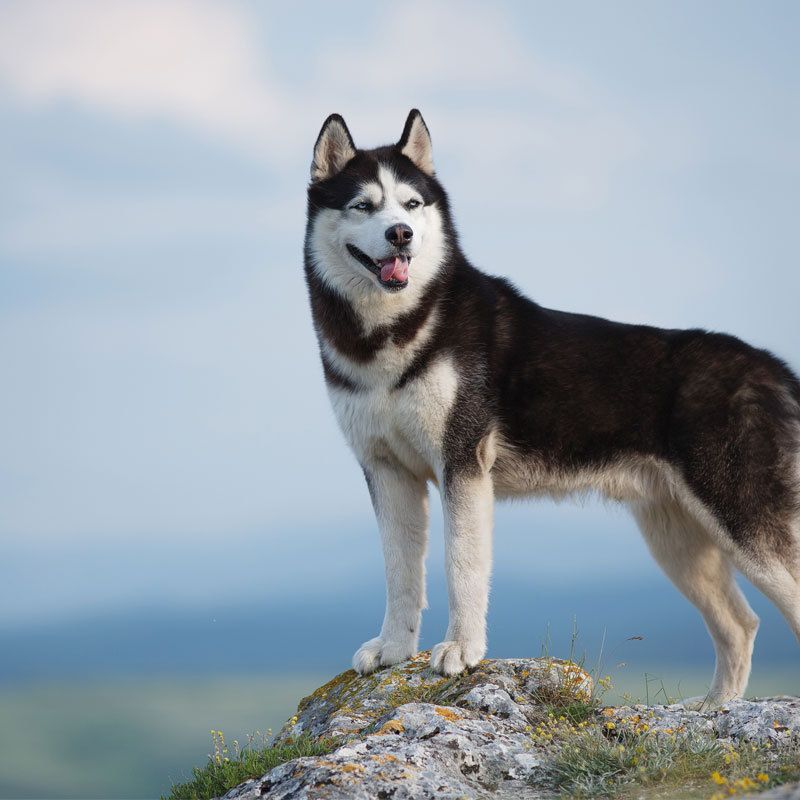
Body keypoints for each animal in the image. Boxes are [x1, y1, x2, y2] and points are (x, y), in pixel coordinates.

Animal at [302, 109, 800, 704]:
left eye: (411, 204)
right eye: (364, 205)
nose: (400, 234)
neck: (392, 333)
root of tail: (769, 363)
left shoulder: (462, 463)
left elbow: (461, 564)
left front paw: (462, 650)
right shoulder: (387, 470)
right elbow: (400, 572)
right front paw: (394, 650)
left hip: (740, 516)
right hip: (676, 536)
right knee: (740, 623)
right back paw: (714, 710)